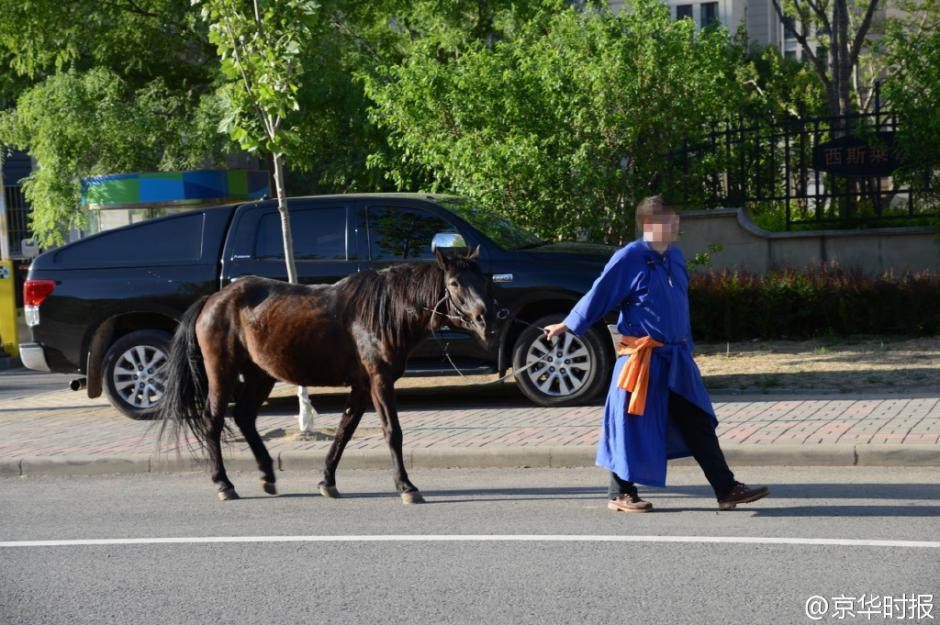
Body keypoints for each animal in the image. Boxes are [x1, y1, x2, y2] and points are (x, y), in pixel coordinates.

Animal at [160, 246, 500, 504]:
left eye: (483, 279)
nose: (487, 319)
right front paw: (406, 486)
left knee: (244, 417)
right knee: (213, 421)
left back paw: (267, 474)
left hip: (260, 376)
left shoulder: (362, 387)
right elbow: (393, 432)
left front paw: (327, 481)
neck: (383, 312)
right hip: (223, 372)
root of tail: (212, 300)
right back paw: (224, 483)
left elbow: (343, 432)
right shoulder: (379, 382)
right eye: (454, 283)